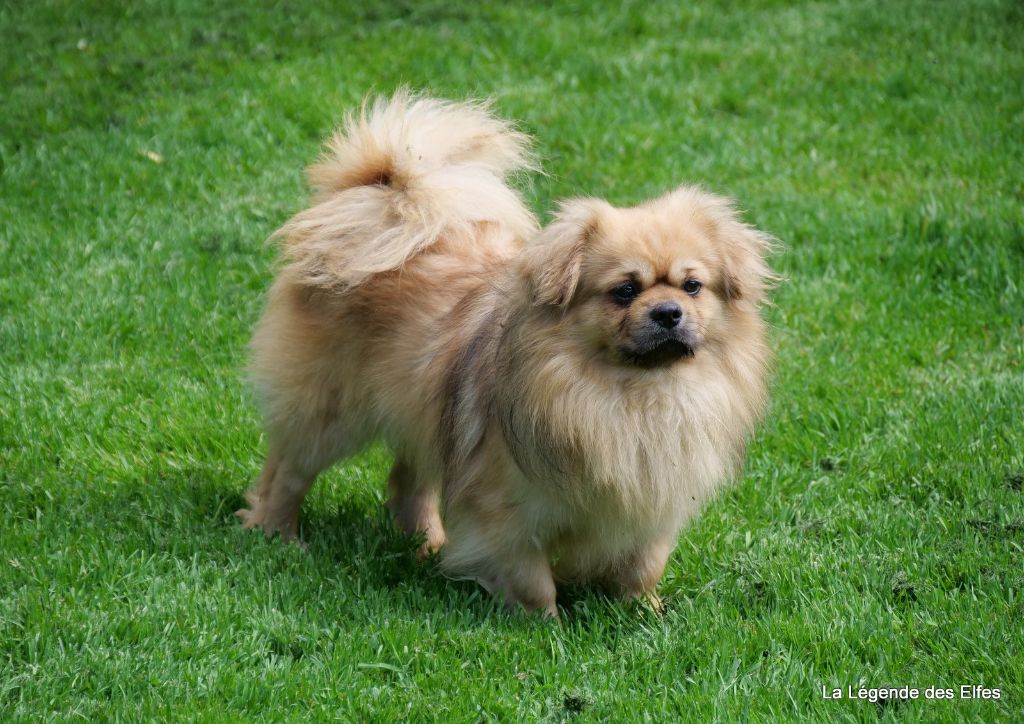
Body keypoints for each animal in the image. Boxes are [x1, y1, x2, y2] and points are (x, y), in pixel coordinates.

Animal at [235, 87, 770, 614]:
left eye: (692, 286)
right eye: (624, 291)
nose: (668, 312)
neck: (632, 397)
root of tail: (375, 197)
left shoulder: (652, 510)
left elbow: (642, 567)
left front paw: (646, 612)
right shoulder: (506, 512)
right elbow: (530, 578)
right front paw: (544, 622)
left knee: (409, 481)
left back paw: (426, 544)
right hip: (329, 414)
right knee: (289, 471)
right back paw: (279, 534)